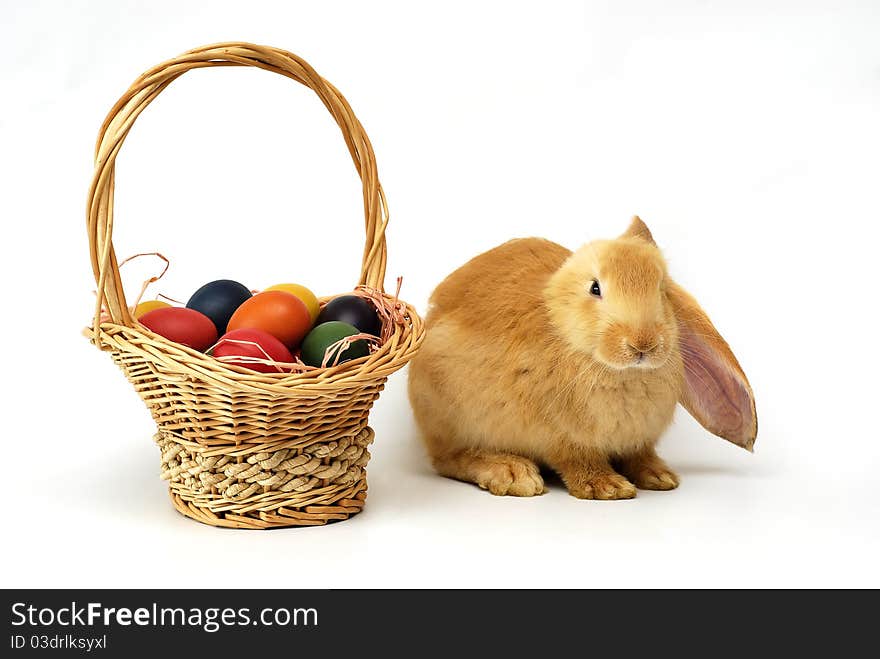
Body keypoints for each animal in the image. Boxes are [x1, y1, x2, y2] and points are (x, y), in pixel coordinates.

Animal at [406, 217, 756, 500]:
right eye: (595, 288)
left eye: (661, 290)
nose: (643, 343)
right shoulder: (562, 439)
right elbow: (578, 461)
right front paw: (607, 487)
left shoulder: (638, 441)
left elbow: (640, 456)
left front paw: (660, 476)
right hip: (449, 416)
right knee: (448, 459)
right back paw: (512, 473)